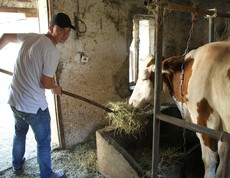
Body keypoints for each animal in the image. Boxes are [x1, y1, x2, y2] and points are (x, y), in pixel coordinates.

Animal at [129, 41, 230, 178]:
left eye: (144, 78)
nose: (130, 102)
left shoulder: (206, 120)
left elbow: (209, 161)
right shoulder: (224, 128)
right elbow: (224, 156)